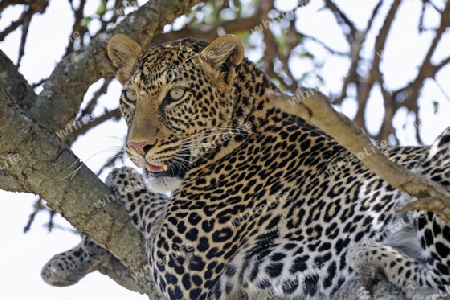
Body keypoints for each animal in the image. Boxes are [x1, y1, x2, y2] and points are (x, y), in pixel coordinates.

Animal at [40, 34, 448, 298]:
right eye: (130, 96)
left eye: (176, 95)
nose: (137, 148)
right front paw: (64, 263)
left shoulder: (176, 261)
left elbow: (140, 195)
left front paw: (119, 177)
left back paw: (368, 254)